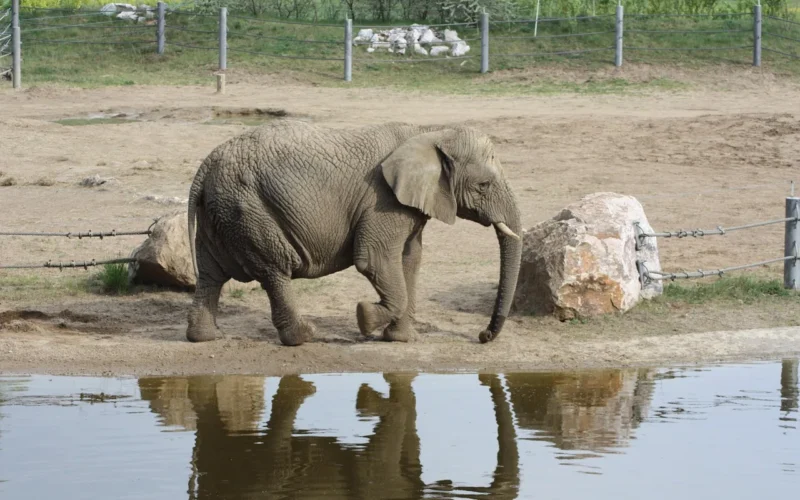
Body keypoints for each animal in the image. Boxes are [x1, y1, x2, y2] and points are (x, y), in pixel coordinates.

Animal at [185, 119, 522, 346]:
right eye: (484, 186)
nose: (482, 335)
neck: (431, 132)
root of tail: (205, 167)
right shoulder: (383, 200)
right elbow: (375, 259)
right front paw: (364, 317)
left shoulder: (409, 205)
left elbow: (410, 259)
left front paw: (399, 339)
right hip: (247, 209)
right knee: (275, 268)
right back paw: (304, 336)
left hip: (221, 212)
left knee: (210, 273)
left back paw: (205, 337)